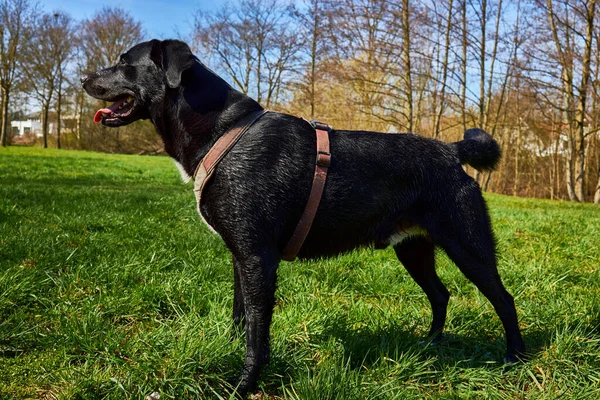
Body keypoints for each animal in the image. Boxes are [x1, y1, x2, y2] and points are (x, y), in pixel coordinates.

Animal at [84, 39, 524, 396]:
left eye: (124, 62)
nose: (85, 79)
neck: (222, 131)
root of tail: (451, 151)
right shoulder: (240, 255)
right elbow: (241, 316)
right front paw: (229, 350)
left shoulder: (258, 259)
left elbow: (257, 335)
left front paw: (243, 386)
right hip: (413, 250)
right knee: (440, 294)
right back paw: (429, 346)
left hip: (468, 247)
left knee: (504, 299)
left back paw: (515, 358)